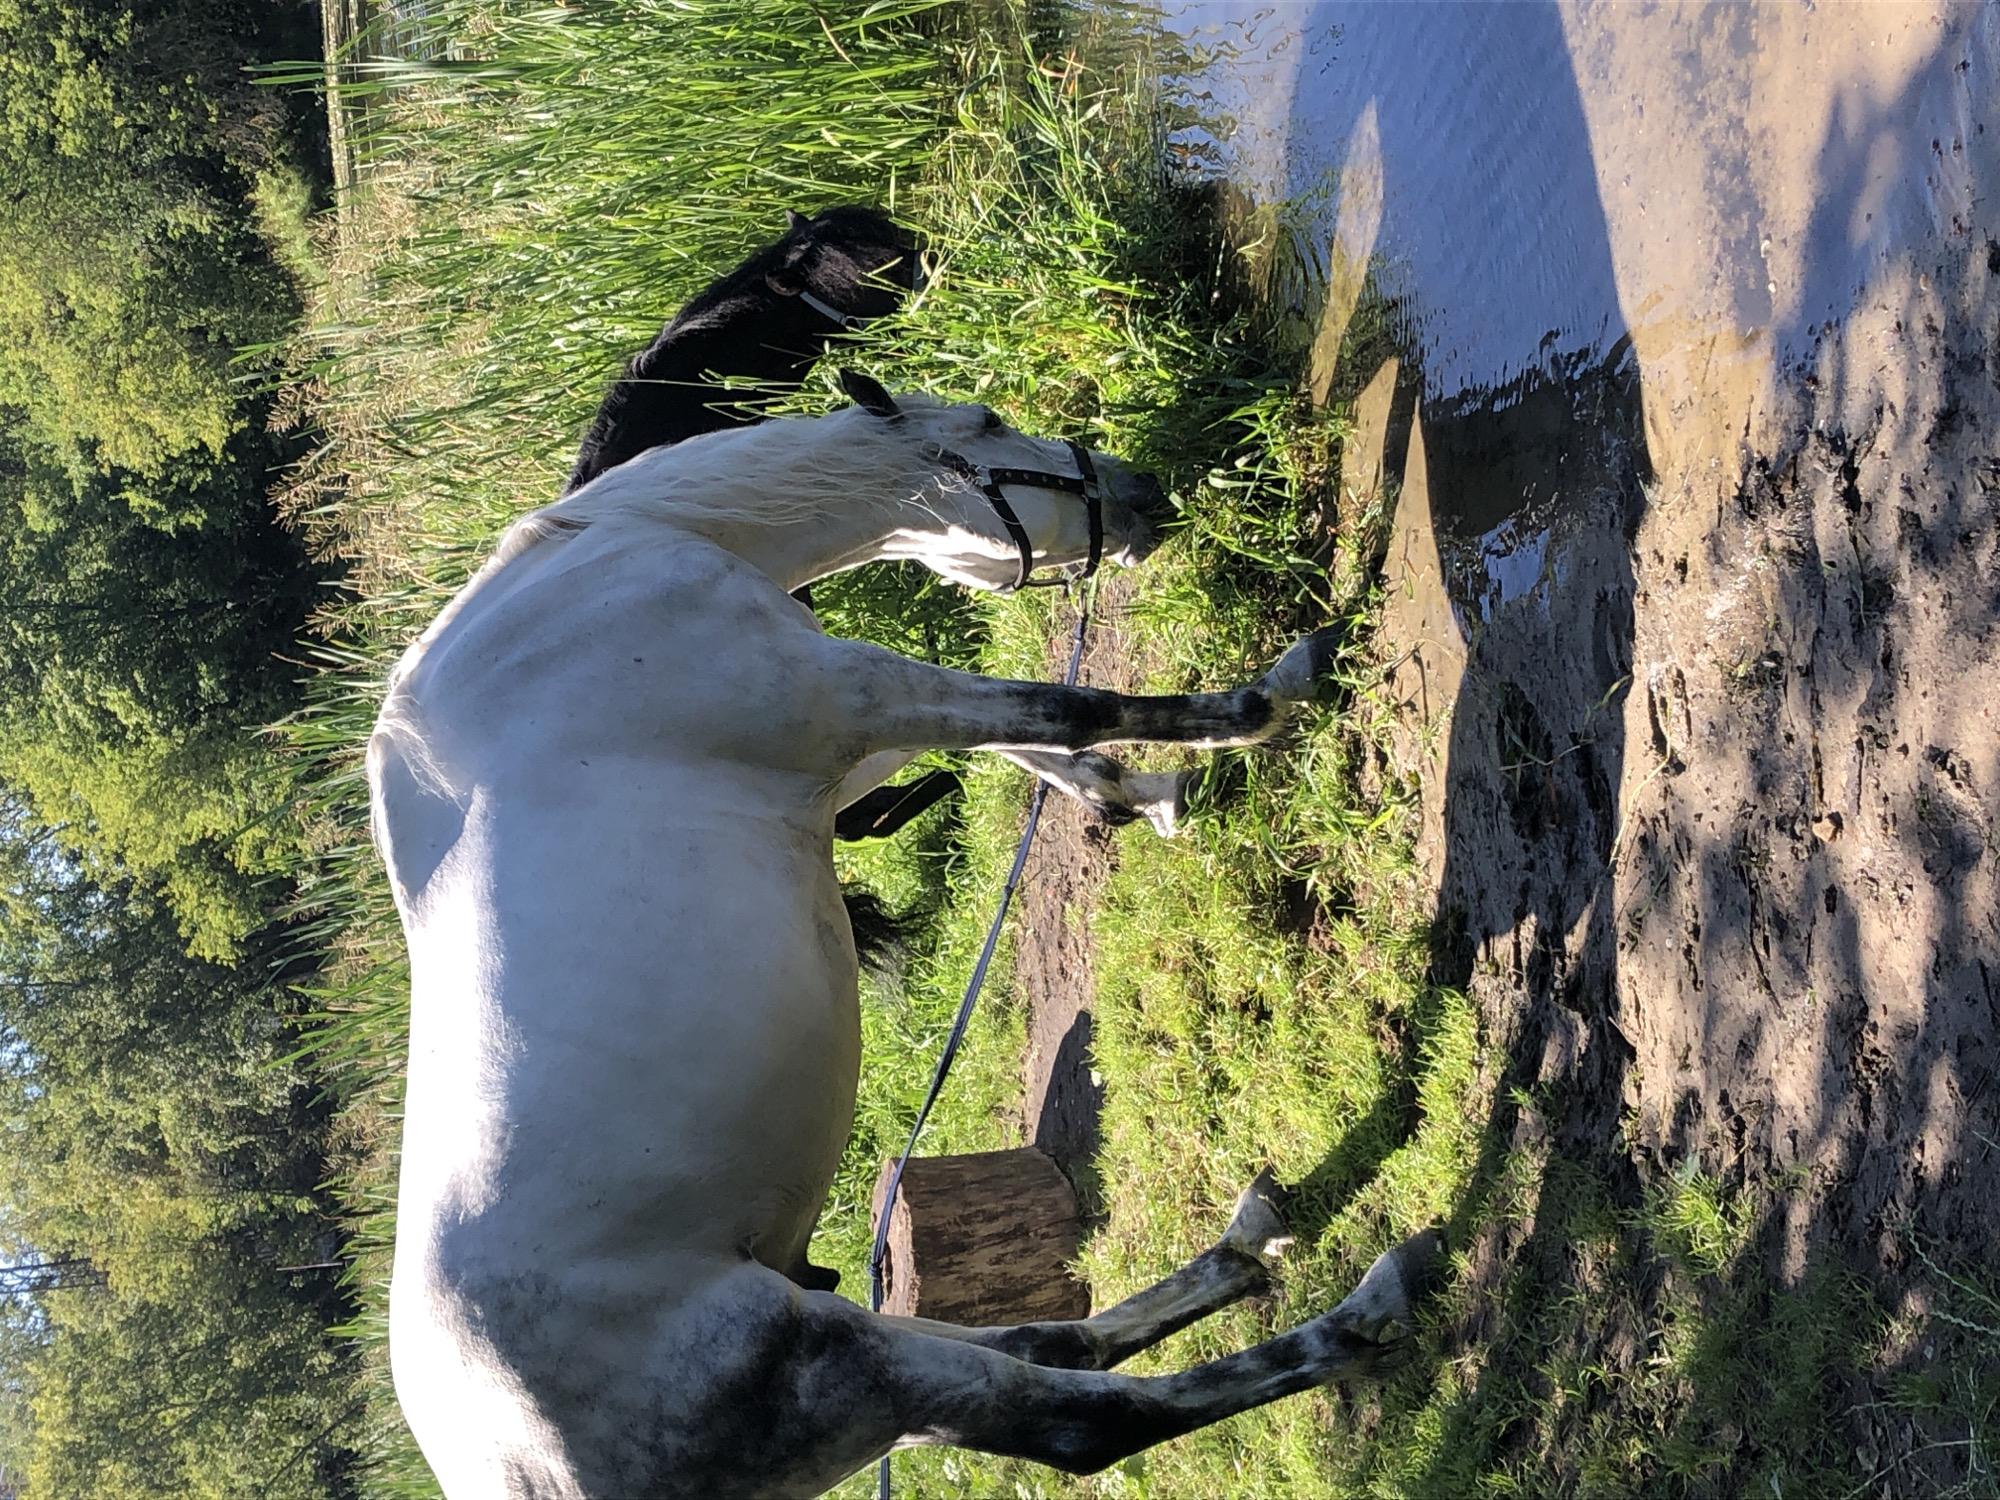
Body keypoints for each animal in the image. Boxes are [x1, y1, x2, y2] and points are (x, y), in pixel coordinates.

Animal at [370, 373, 1439, 1498]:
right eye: (985, 424)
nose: (1145, 493)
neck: (622, 547)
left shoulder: (845, 747)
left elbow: (1039, 749)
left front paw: (1145, 797)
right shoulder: (847, 691)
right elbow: (1069, 707)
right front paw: (1275, 695)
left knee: (1047, 1347)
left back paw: (1243, 1248)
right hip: (842, 1370)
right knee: (1082, 1424)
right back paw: (1358, 1318)